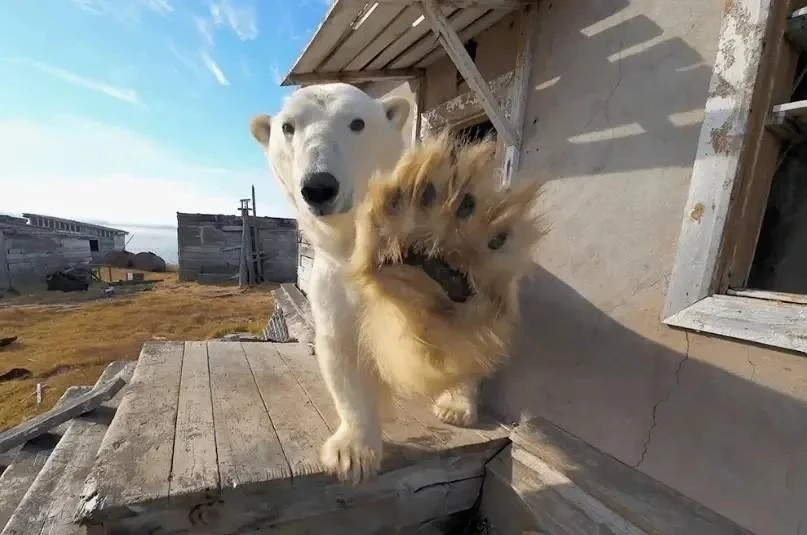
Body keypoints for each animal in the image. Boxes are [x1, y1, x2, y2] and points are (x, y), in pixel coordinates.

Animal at [250, 83, 542, 485]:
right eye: (288, 127)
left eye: (357, 122)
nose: (319, 187)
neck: (353, 243)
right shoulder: (333, 280)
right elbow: (342, 349)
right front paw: (352, 453)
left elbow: (427, 346)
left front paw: (432, 269)